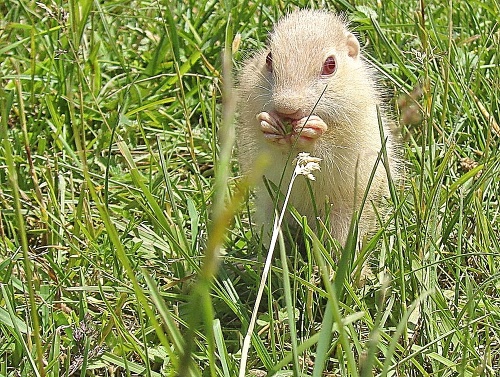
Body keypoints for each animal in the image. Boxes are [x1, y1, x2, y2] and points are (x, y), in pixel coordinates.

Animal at [235, 10, 398, 244]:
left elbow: (328, 150)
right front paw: (268, 124)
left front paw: (312, 129)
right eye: (268, 59)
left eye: (330, 64)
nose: (286, 108)